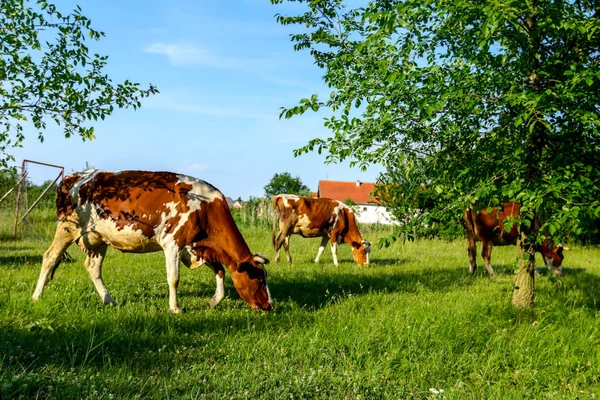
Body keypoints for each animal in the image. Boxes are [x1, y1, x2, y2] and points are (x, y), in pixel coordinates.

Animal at [32, 169, 272, 312]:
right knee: (49, 258)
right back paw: (36, 297)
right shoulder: (173, 243)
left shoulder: (195, 247)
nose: (270, 305)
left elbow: (220, 270)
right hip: (67, 227)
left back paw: (109, 300)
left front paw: (214, 300)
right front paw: (175, 308)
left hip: (98, 239)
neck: (205, 208)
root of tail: (73, 176)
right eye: (259, 279)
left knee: (92, 268)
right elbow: (173, 278)